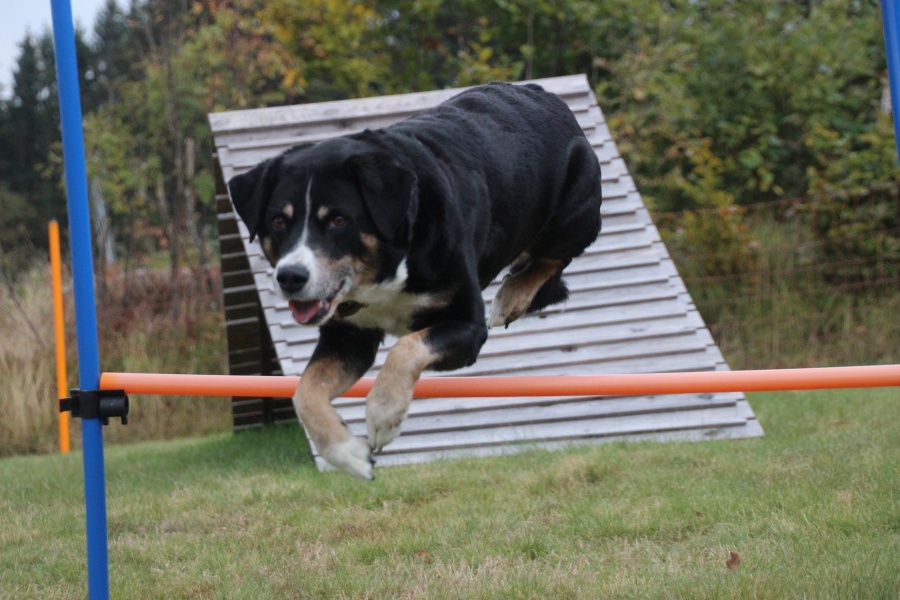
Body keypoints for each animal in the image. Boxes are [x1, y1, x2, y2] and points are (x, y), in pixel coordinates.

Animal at [229, 82, 600, 480]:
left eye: (339, 220)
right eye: (279, 221)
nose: (290, 277)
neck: (387, 269)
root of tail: (543, 92)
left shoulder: (467, 325)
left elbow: (406, 348)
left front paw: (382, 416)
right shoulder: (349, 336)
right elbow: (305, 392)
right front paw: (347, 453)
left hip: (574, 209)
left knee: (554, 258)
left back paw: (511, 298)